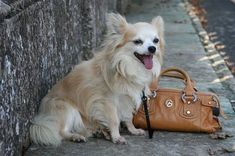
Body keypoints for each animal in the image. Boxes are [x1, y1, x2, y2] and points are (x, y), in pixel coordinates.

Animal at [30, 12, 164, 146]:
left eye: (156, 40)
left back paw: (98, 132)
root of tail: (41, 116)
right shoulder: (107, 101)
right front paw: (116, 137)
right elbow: (114, 120)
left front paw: (133, 130)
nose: (152, 48)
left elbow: (128, 117)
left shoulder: (127, 98)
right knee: (61, 132)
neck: (126, 68)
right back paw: (76, 137)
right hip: (66, 108)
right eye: (138, 41)